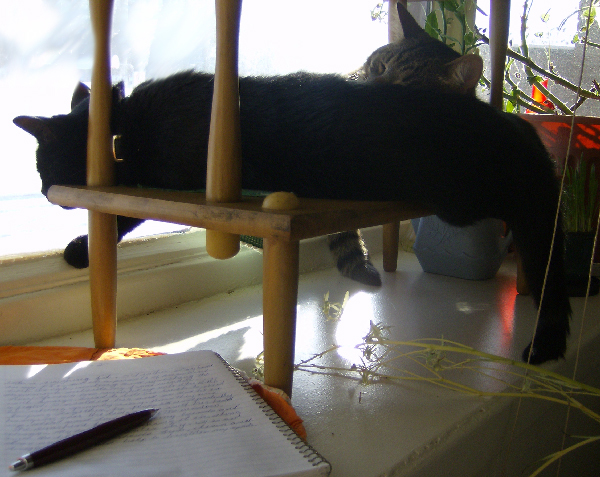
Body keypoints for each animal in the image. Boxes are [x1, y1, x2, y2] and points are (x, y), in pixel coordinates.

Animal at [11, 4, 568, 364]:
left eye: (40, 168)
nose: (42, 193)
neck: (125, 123)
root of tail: (520, 129)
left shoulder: (168, 174)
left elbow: (124, 211)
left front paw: (78, 250)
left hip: (474, 199)